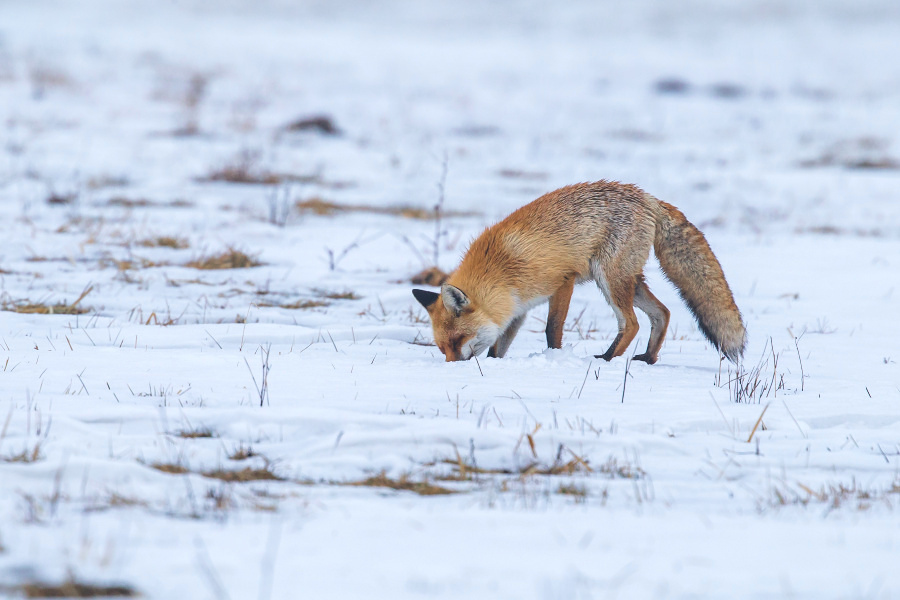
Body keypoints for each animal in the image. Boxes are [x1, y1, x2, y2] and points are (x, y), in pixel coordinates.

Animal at [414, 180, 744, 364]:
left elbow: (552, 330)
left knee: (632, 323)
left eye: (458, 340)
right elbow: (498, 347)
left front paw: (554, 357)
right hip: (627, 281)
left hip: (608, 278)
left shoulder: (562, 281)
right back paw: (648, 358)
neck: (499, 269)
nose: (452, 367)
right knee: (662, 313)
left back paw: (607, 359)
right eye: (443, 347)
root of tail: (648, 198)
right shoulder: (516, 310)